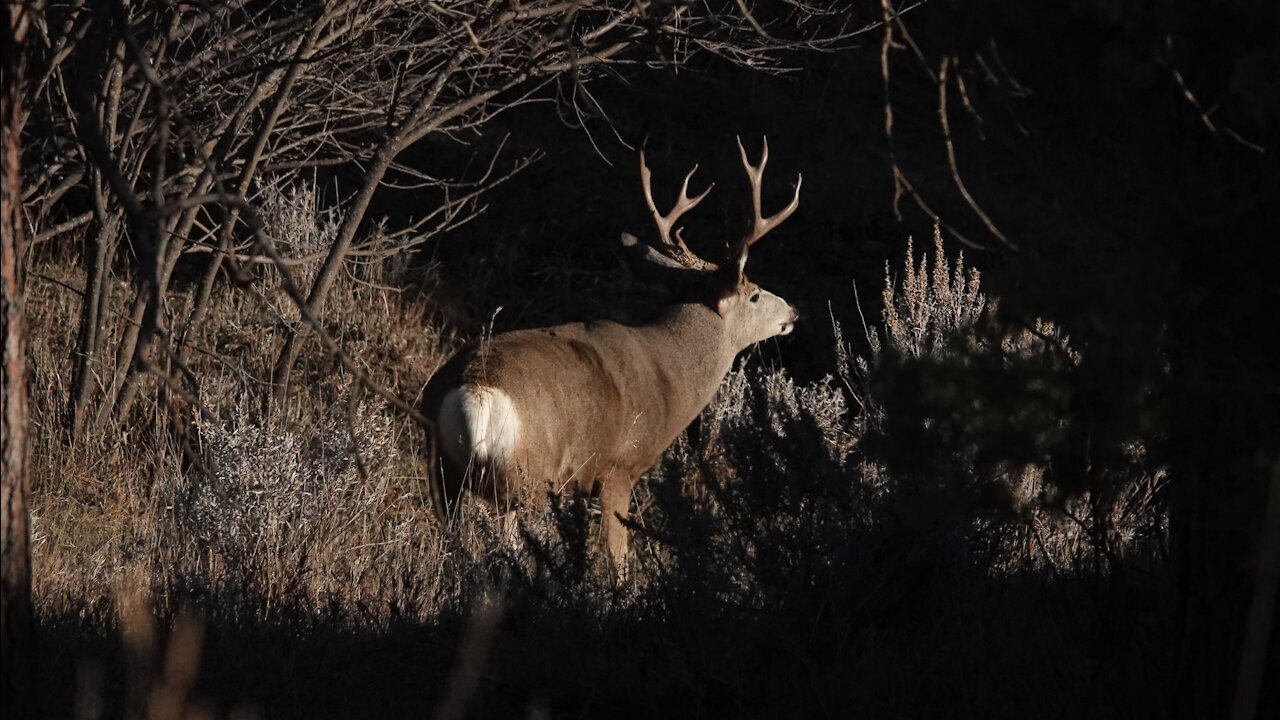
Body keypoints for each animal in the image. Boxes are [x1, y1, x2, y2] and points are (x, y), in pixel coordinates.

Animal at [419, 135, 798, 571]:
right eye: (754, 295)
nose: (793, 311)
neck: (670, 375)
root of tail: (474, 392)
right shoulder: (619, 466)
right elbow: (618, 557)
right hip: (527, 478)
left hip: (443, 472)